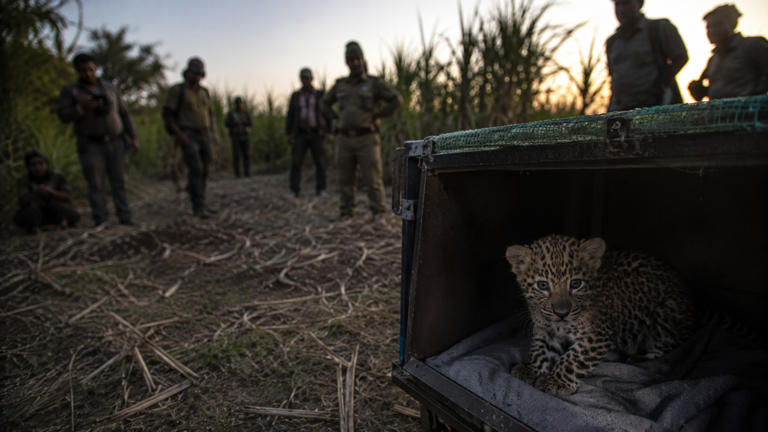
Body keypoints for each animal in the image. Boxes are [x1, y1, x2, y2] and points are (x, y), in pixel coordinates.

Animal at [505, 234, 696, 396]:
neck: (559, 326)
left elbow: (573, 359)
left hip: (665, 318)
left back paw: (635, 357)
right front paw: (532, 370)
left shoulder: (597, 334)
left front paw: (557, 382)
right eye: (543, 285)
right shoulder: (545, 330)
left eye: (576, 284)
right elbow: (539, 349)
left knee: (665, 346)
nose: (561, 313)